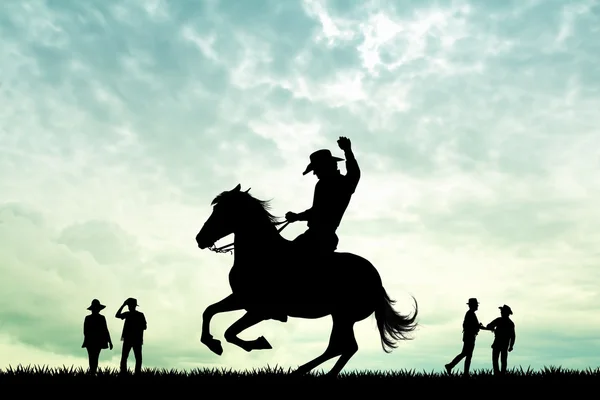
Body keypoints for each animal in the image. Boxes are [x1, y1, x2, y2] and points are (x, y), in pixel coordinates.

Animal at [196, 183, 418, 376]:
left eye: (222, 211)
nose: (200, 239)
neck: (263, 254)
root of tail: (376, 281)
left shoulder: (261, 310)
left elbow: (230, 332)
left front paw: (258, 343)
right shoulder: (241, 299)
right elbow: (209, 311)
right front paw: (212, 343)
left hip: (343, 316)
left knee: (341, 346)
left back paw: (305, 372)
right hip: (341, 317)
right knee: (344, 347)